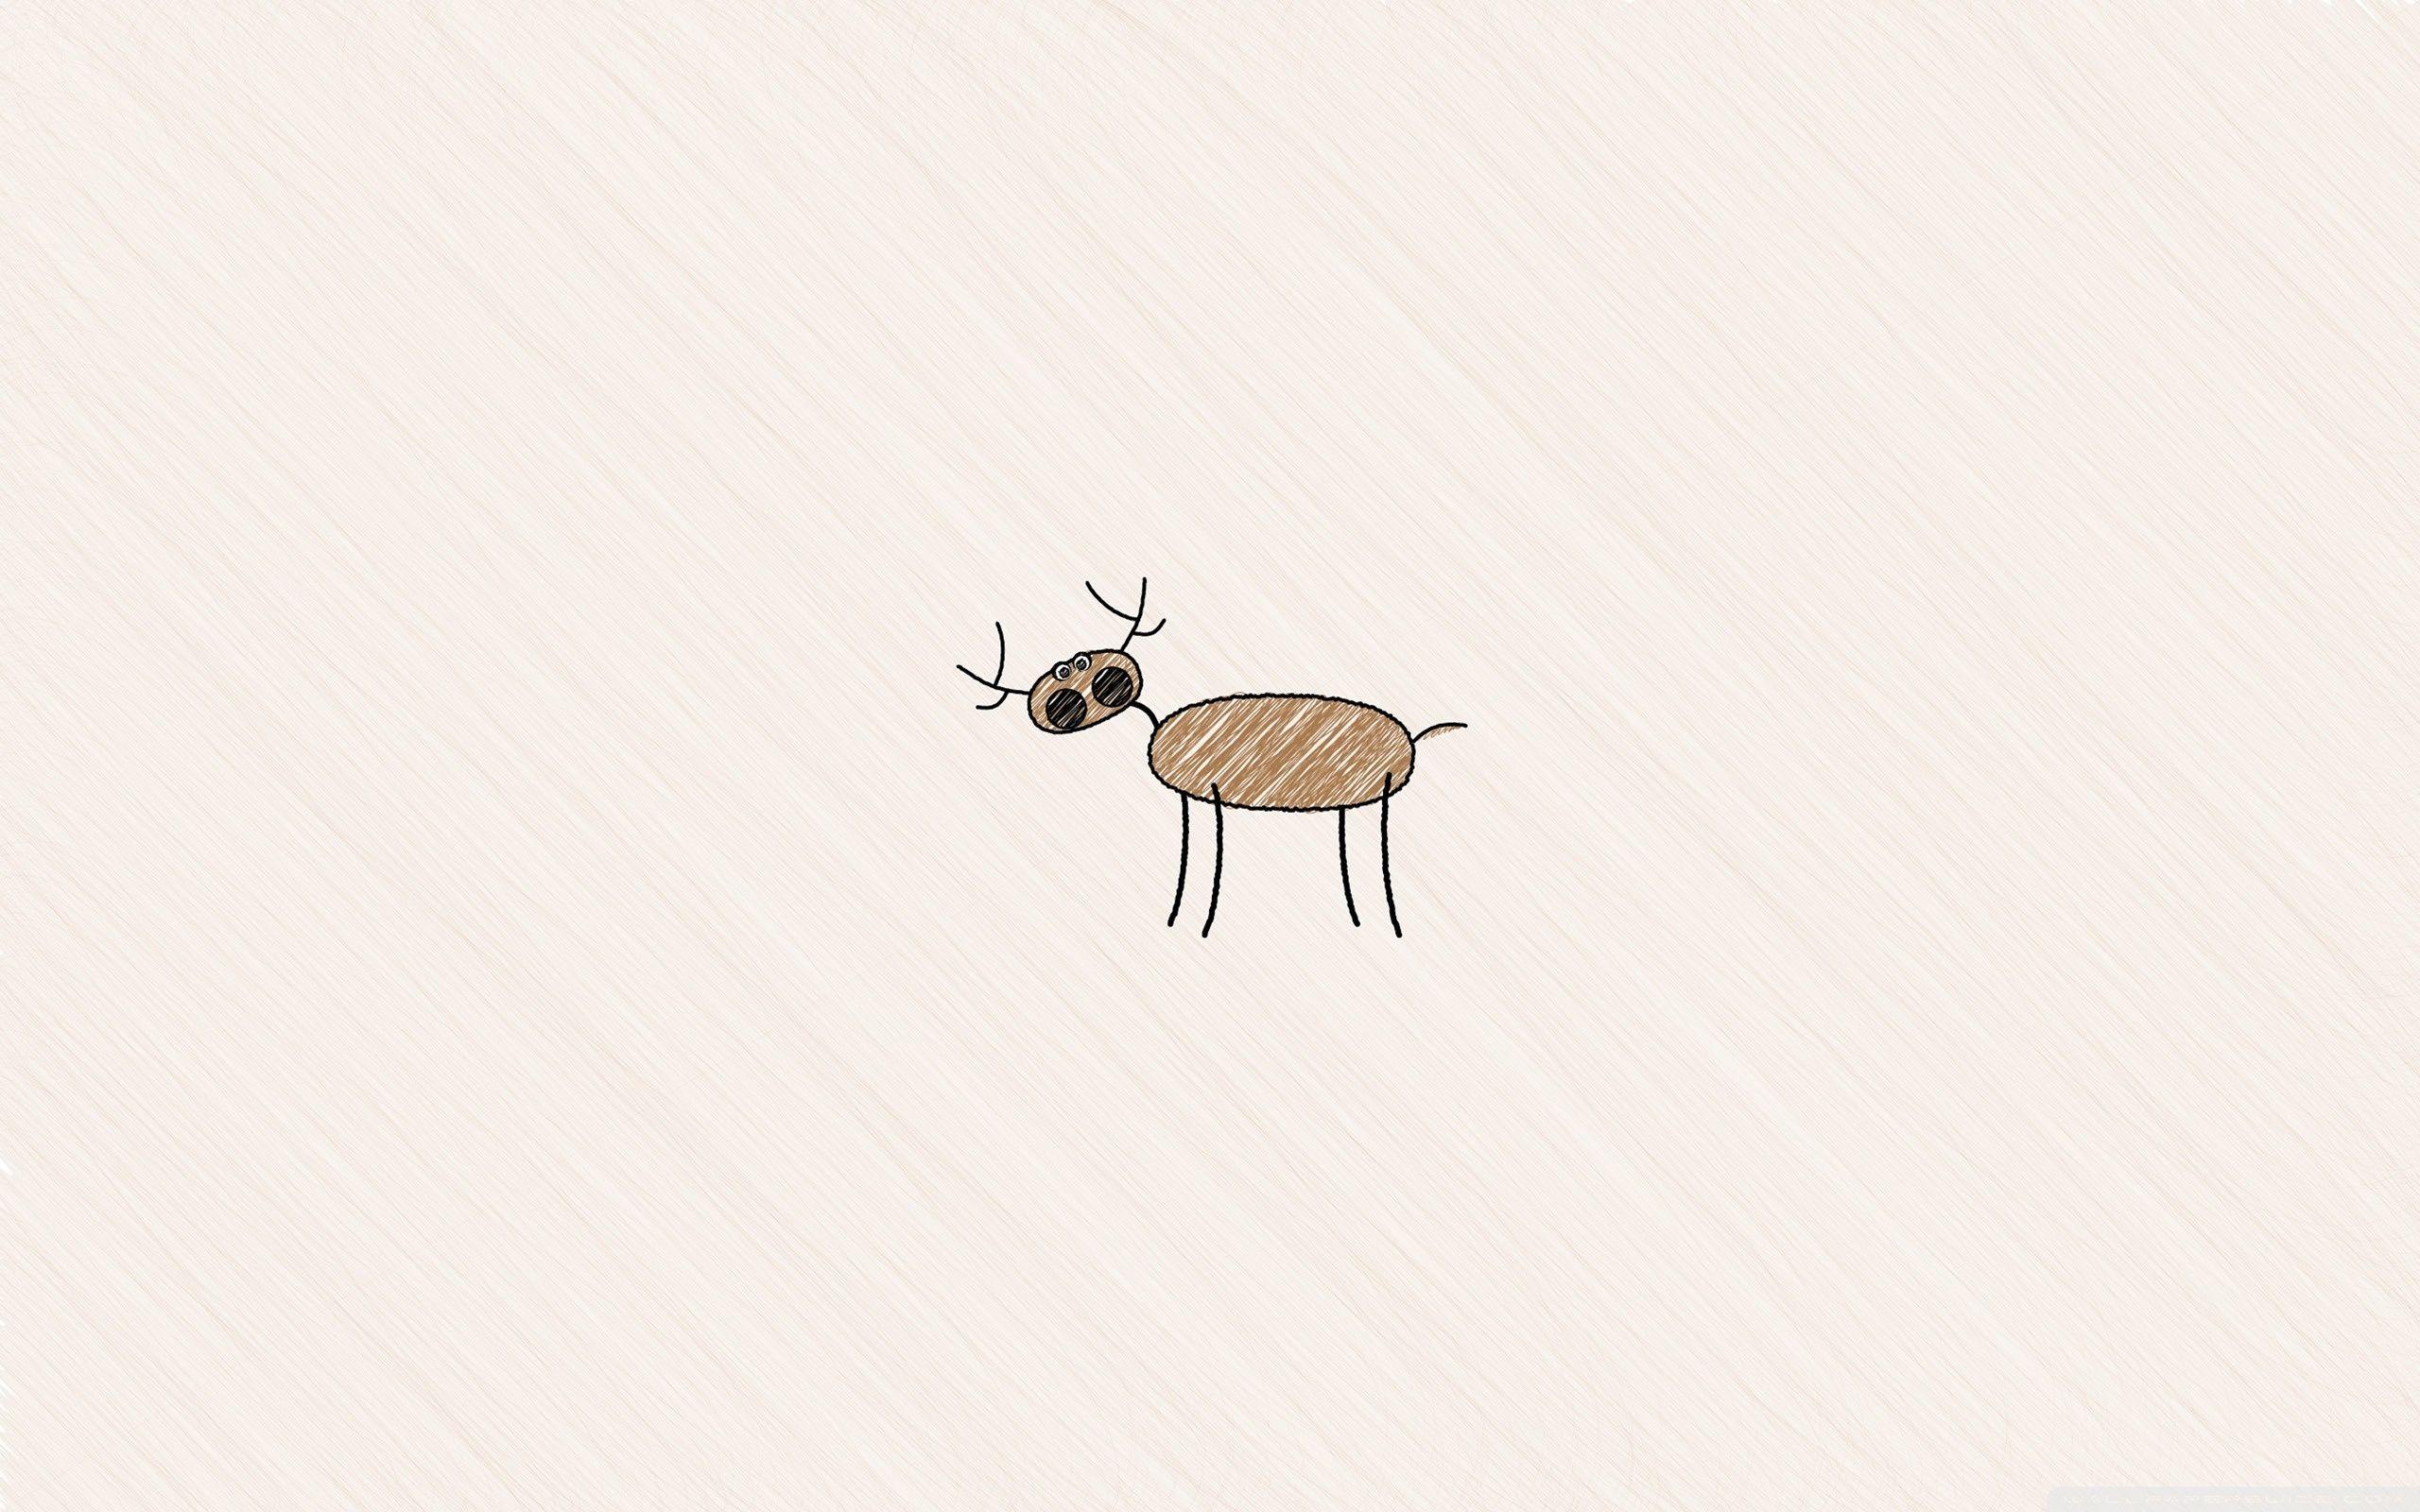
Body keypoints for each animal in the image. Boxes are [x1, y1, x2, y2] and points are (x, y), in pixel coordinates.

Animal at [956, 578, 1465, 937]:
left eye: (1102, 679)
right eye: (1062, 701)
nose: (1069, 680)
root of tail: (1411, 741)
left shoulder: (1210, 795)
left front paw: (1196, 921)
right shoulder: (1196, 797)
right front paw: (1185, 918)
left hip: (1378, 795)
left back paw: (1386, 921)